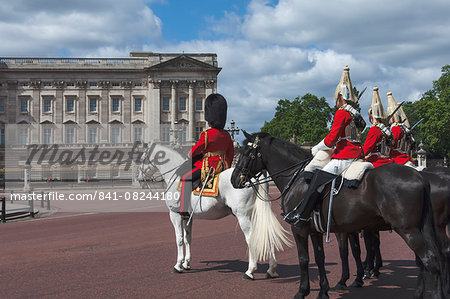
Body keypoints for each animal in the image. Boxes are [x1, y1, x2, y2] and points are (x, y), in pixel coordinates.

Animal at [138, 142, 292, 278]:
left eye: (141, 158)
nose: (139, 179)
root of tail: (255, 176)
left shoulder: (174, 214)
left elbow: (179, 239)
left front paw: (178, 265)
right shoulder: (187, 216)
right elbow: (188, 238)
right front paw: (187, 263)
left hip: (242, 215)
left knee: (251, 237)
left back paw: (250, 271)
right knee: (266, 233)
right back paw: (271, 269)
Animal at [232, 133, 446, 299]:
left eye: (247, 153)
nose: (234, 180)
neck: (296, 177)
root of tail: (419, 176)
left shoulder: (299, 227)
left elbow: (304, 258)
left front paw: (302, 291)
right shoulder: (315, 229)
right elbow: (320, 258)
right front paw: (324, 291)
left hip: (409, 230)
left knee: (430, 260)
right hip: (420, 229)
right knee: (428, 261)